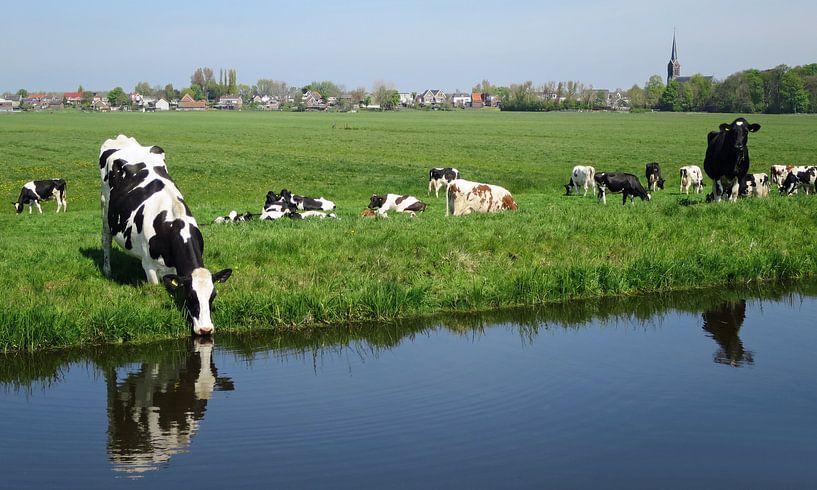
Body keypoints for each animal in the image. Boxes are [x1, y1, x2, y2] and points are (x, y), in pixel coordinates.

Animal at [100, 136, 233, 338]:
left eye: (213, 295)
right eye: (190, 296)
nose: (205, 329)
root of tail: (122, 139)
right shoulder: (150, 266)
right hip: (105, 206)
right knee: (106, 239)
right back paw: (107, 270)